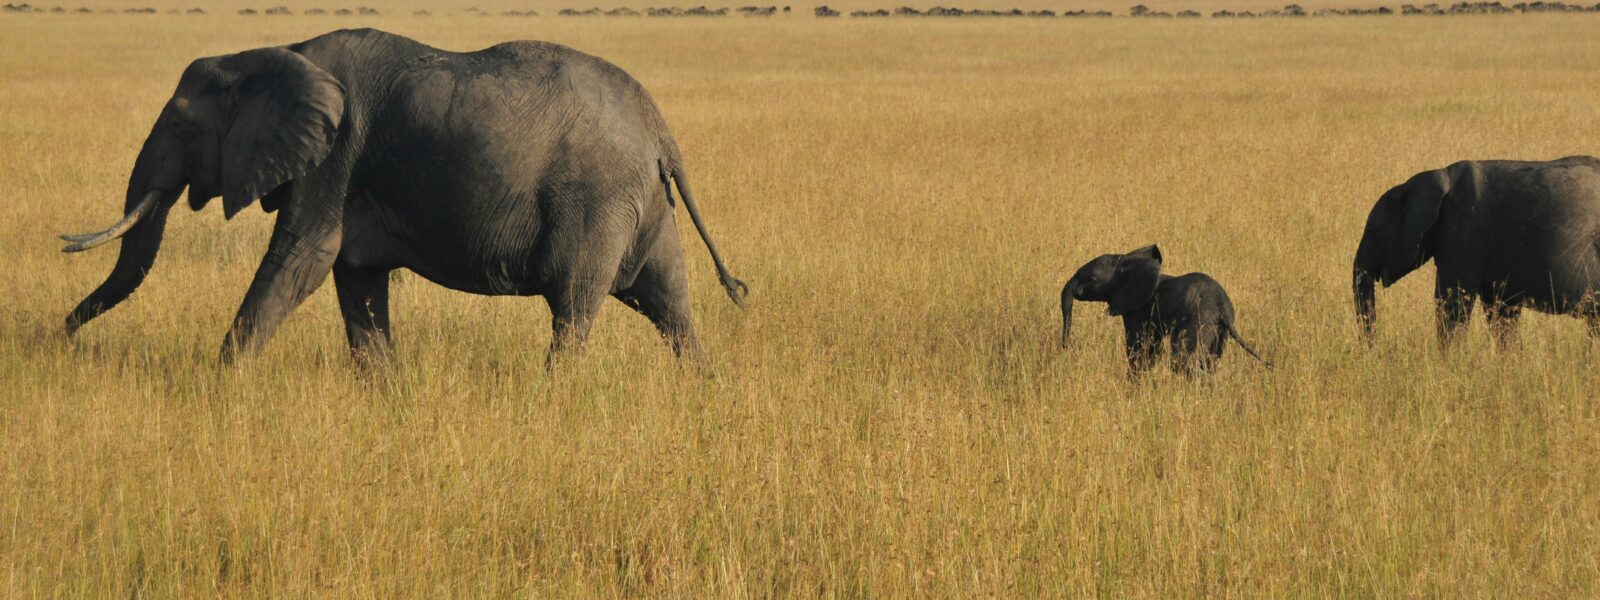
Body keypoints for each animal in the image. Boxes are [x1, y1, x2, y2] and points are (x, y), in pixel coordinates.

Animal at [60, 28, 747, 365]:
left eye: (181, 124)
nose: (59, 336)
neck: (274, 56)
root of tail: (660, 129)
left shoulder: (334, 158)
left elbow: (299, 262)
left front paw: (220, 384)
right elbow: (355, 282)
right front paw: (385, 395)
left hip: (597, 199)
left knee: (575, 310)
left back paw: (556, 397)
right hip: (642, 204)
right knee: (671, 304)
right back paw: (700, 390)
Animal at [1060, 245, 1270, 374]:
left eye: (1092, 279)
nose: (1065, 347)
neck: (1129, 264)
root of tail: (1223, 308)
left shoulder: (1136, 308)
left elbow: (1138, 348)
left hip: (1198, 321)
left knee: (1184, 362)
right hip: (1219, 331)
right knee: (1211, 362)